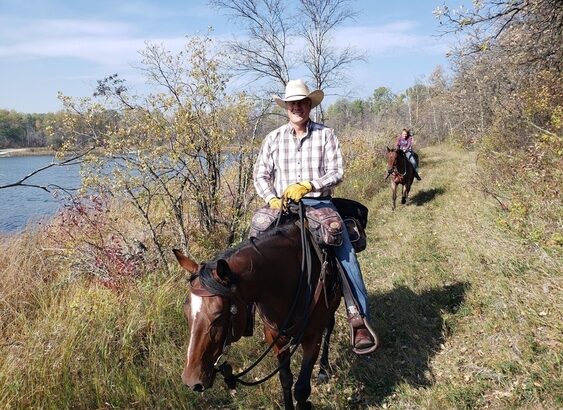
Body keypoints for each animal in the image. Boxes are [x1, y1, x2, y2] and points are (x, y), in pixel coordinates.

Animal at [173, 219, 340, 410]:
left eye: (218, 315)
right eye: (186, 313)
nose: (191, 380)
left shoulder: (313, 338)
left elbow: (302, 390)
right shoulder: (275, 337)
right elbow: (285, 379)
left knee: (329, 326)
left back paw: (324, 369)